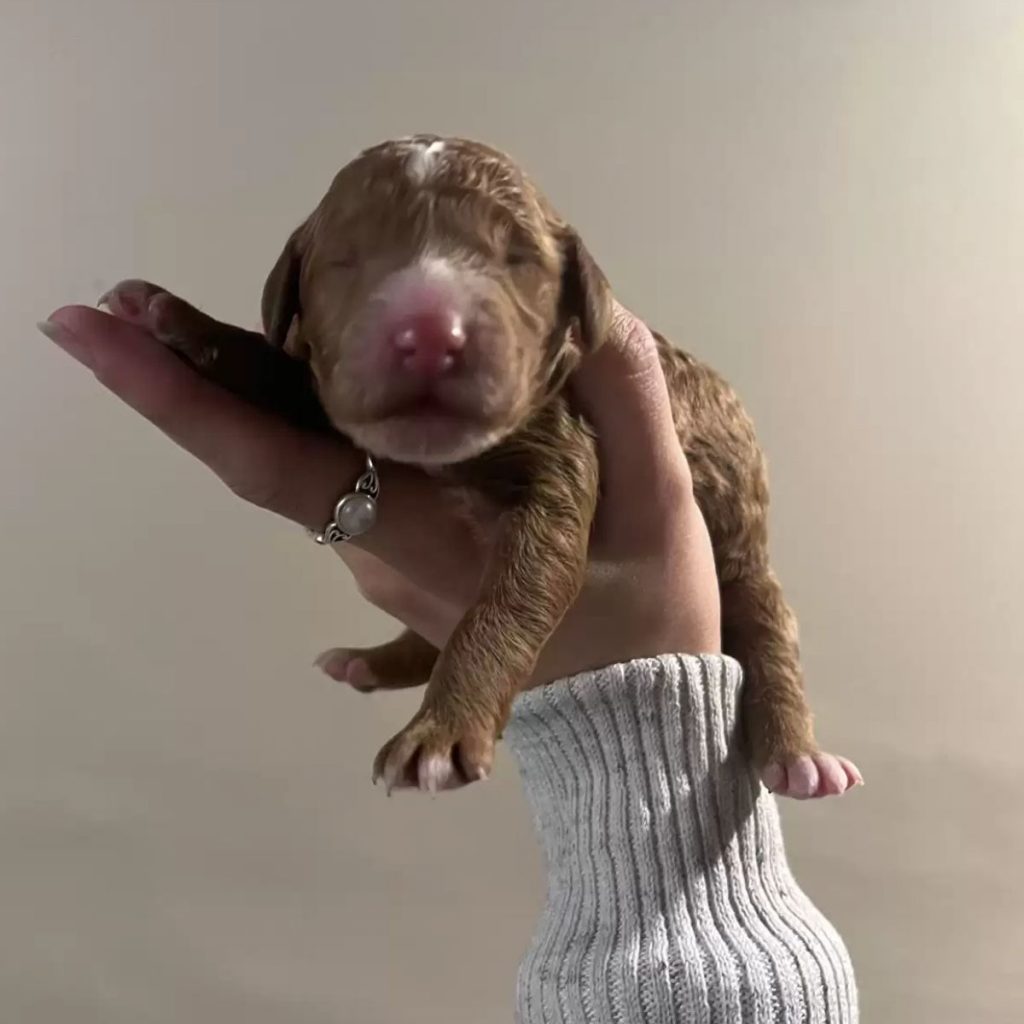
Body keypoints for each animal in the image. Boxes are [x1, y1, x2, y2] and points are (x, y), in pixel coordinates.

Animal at [103, 134, 860, 798]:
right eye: (346, 259)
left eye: (518, 258)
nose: (430, 333)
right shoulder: (327, 386)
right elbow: (278, 367)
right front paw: (177, 319)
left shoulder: (561, 459)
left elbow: (510, 596)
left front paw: (439, 736)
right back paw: (369, 662)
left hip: (743, 560)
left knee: (768, 632)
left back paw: (799, 756)